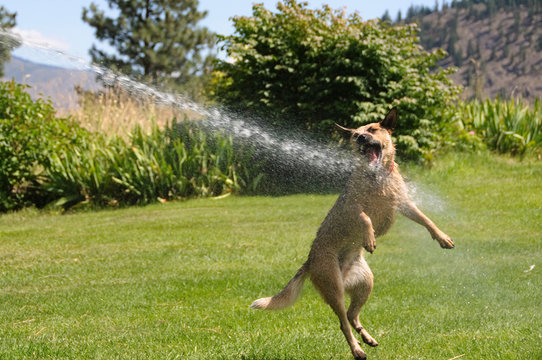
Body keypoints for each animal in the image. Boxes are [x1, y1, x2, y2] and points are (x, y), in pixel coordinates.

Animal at [253, 108, 456, 358]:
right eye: (354, 134)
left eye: (372, 129)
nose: (360, 137)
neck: (378, 177)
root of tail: (309, 262)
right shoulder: (352, 206)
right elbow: (364, 217)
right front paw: (369, 238)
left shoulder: (402, 202)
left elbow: (426, 218)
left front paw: (442, 237)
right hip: (334, 287)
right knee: (343, 322)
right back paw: (357, 349)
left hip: (365, 283)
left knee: (352, 315)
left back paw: (367, 338)